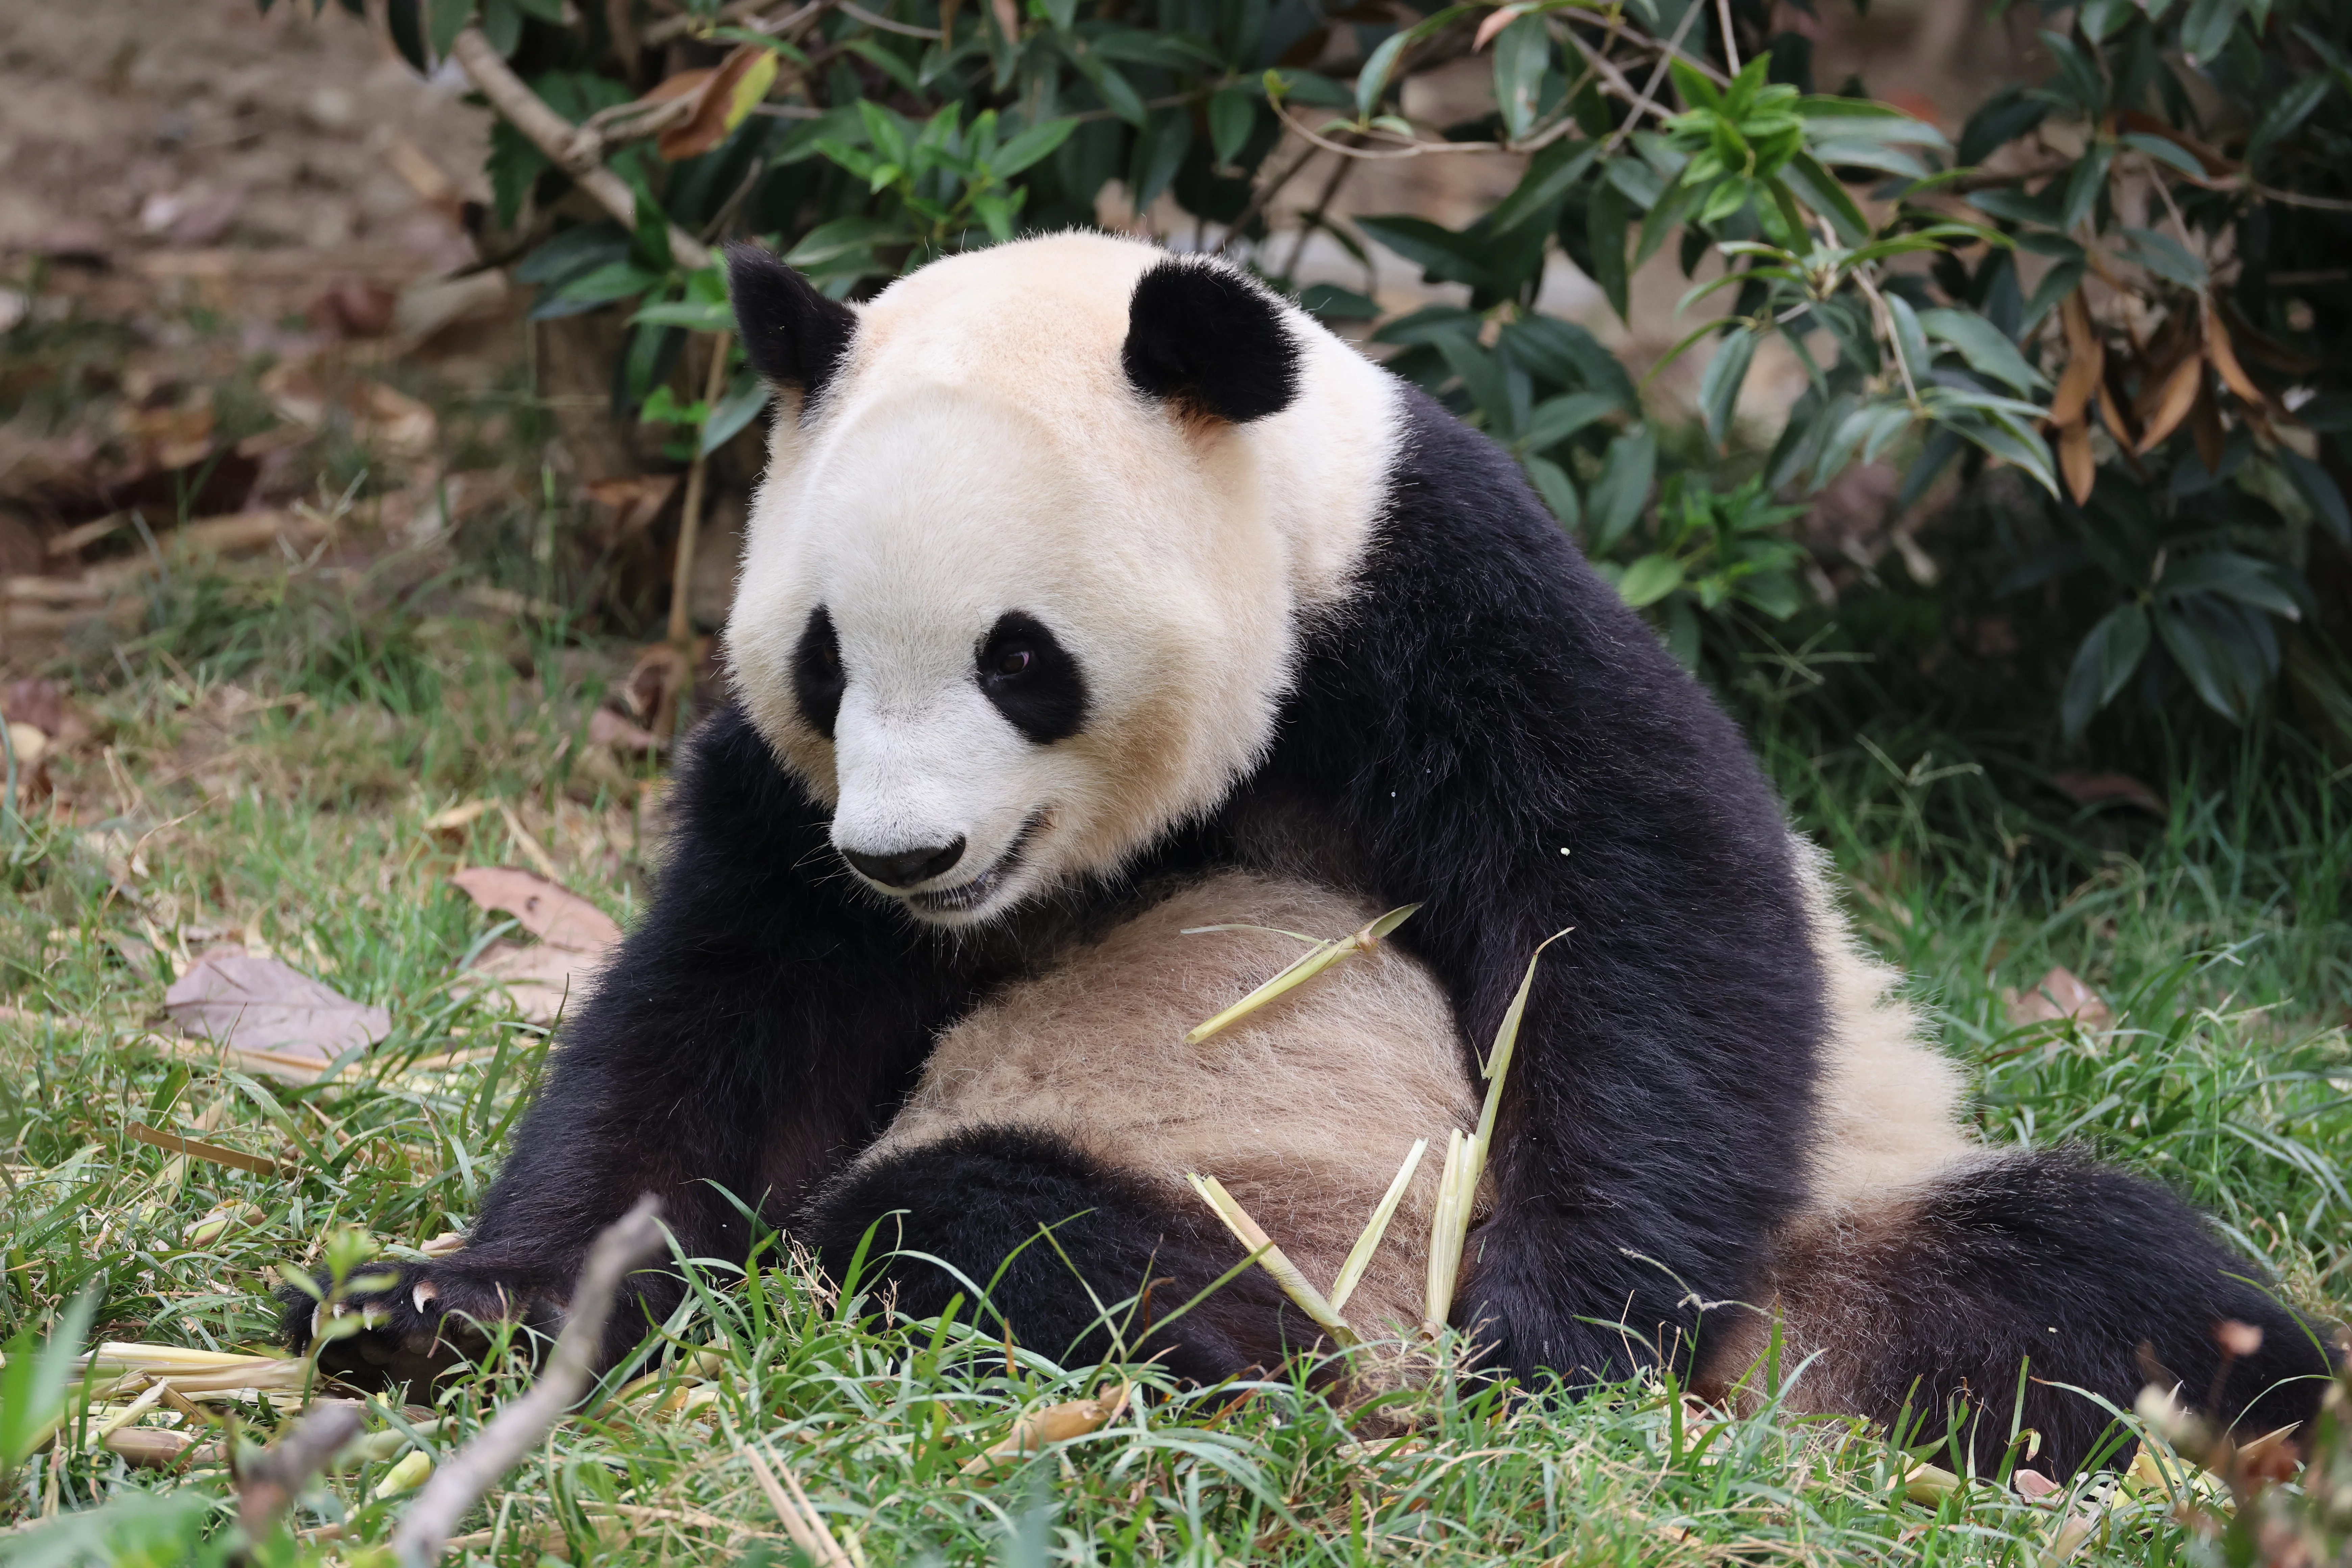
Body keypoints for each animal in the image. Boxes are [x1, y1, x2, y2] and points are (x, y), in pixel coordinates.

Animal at [286, 231, 2333, 1476]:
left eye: (1020, 659)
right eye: (825, 657)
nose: (910, 853)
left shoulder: (1434, 602)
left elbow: (1642, 908)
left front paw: (1566, 1336)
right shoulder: (795, 821)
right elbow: (711, 1034)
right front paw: (443, 1315)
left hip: (1838, 1232)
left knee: (2098, 1273)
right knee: (972, 1222)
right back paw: (1243, 1345)